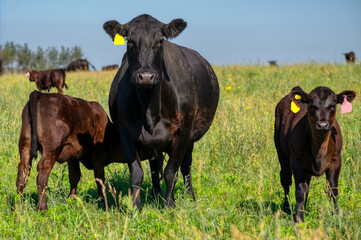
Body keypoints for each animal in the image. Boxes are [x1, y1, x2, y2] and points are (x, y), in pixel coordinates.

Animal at [16, 90, 163, 210]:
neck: (111, 133)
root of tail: (40, 94)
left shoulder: (72, 156)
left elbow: (74, 176)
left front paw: (72, 199)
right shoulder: (98, 157)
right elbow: (100, 180)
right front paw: (104, 203)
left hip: (25, 145)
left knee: (23, 171)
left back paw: (19, 207)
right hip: (51, 149)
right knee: (42, 173)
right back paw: (43, 208)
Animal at [102, 15, 219, 210]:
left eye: (159, 41)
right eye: (130, 41)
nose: (146, 76)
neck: (151, 111)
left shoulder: (182, 134)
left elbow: (171, 172)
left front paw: (169, 206)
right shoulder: (125, 134)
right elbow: (137, 173)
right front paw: (136, 208)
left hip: (190, 137)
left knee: (186, 165)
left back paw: (189, 196)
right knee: (155, 165)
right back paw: (156, 195)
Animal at [272, 86, 354, 221]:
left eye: (333, 105)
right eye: (311, 105)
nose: (322, 125)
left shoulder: (336, 159)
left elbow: (333, 189)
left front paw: (336, 216)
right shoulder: (296, 160)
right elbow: (301, 190)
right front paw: (298, 218)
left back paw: (304, 209)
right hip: (281, 152)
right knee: (285, 178)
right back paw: (287, 208)